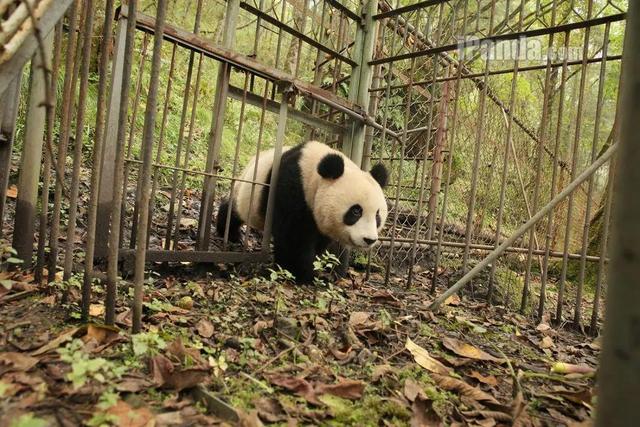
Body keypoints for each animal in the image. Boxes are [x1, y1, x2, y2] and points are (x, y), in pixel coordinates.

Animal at [216, 141, 390, 284]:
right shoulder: (292, 186)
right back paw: (230, 233)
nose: (369, 240)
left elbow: (325, 243)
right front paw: (300, 274)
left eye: (377, 215)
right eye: (356, 211)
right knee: (234, 210)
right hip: (248, 188)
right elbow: (294, 236)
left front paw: (326, 271)